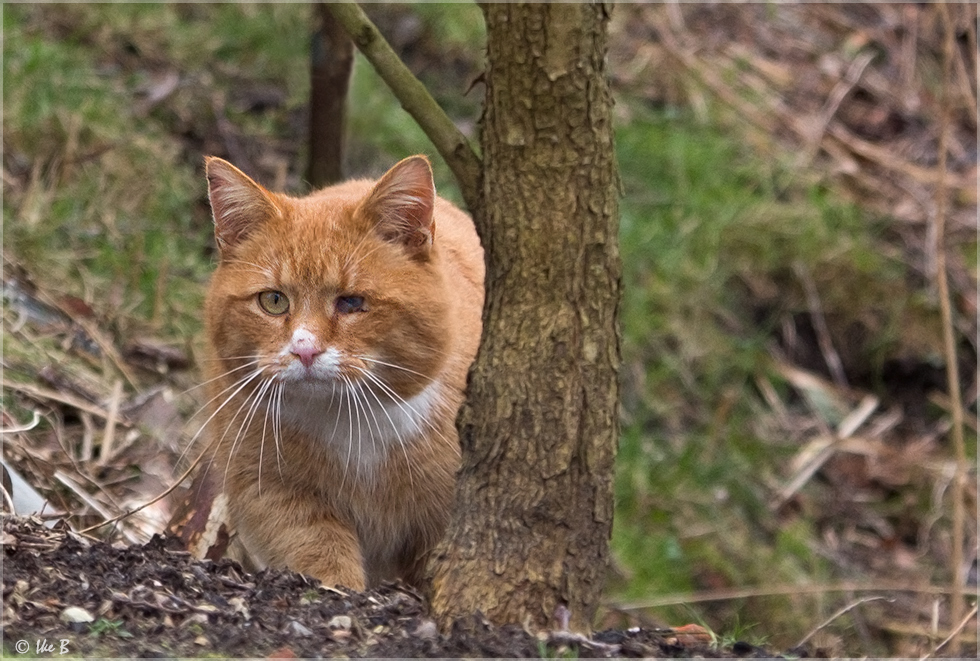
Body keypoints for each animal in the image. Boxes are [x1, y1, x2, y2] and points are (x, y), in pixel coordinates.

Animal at [201, 155, 484, 588]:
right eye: (273, 301)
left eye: (351, 303)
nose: (305, 349)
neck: (352, 424)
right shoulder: (273, 492)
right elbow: (319, 554)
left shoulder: (441, 521)